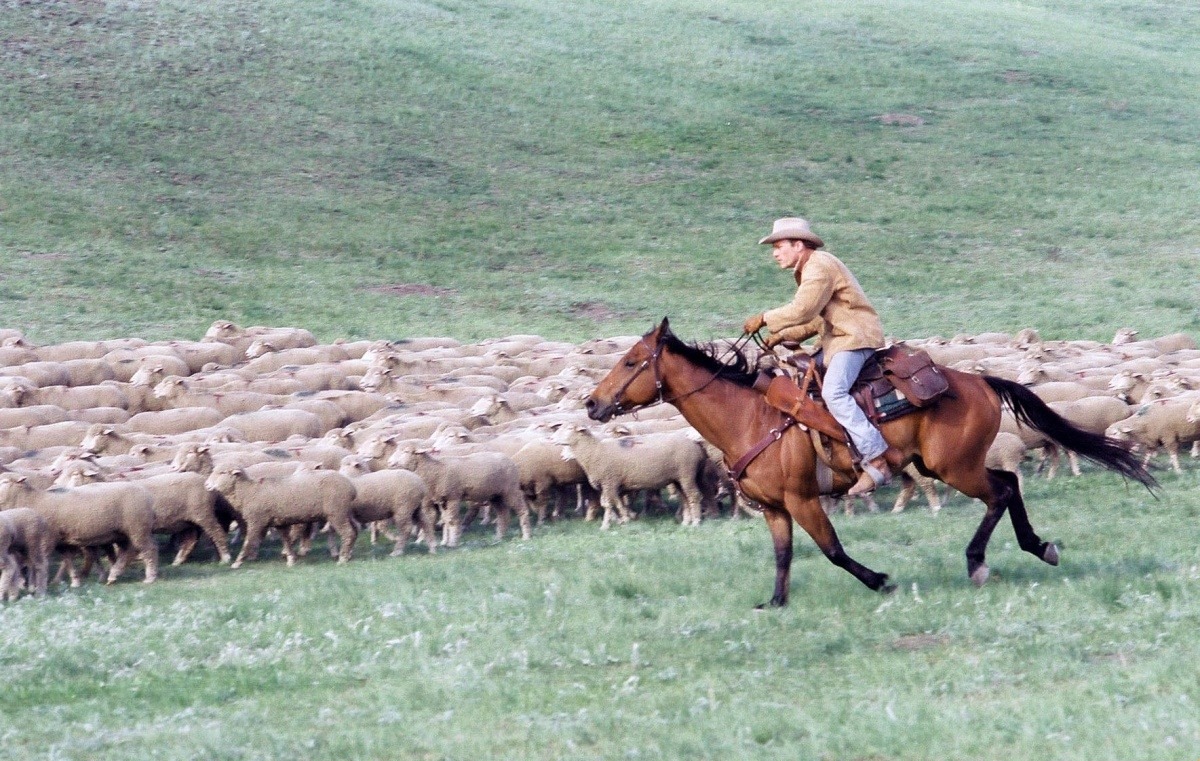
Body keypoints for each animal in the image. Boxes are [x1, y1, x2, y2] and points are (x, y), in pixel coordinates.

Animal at [0, 470, 159, 583]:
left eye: (4, 481)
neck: (31, 500)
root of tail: (147, 495)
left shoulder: (48, 539)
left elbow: (39, 561)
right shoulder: (61, 541)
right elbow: (68, 560)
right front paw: (74, 580)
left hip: (138, 527)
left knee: (149, 549)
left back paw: (150, 577)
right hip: (122, 532)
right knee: (126, 551)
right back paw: (113, 574)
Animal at [201, 458, 357, 566]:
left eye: (222, 473)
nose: (206, 485)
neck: (248, 491)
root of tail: (351, 486)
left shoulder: (256, 521)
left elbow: (248, 542)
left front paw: (237, 562)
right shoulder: (279, 522)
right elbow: (286, 540)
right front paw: (291, 560)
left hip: (336, 512)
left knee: (348, 532)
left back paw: (342, 558)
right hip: (345, 511)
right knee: (355, 530)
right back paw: (349, 554)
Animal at [585, 316, 1156, 602]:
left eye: (632, 362)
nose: (592, 403)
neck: (750, 417)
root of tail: (978, 381)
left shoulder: (803, 499)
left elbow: (833, 550)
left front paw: (881, 581)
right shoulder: (774, 508)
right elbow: (783, 556)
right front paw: (775, 602)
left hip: (954, 468)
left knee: (1000, 491)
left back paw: (981, 562)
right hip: (946, 465)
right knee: (1009, 485)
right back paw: (1035, 547)